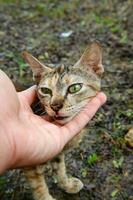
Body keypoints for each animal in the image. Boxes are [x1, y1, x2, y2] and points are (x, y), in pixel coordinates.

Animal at [22, 41, 104, 200]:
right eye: (45, 91)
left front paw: (67, 185)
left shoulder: (58, 153)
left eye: (75, 88)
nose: (55, 106)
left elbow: (60, 170)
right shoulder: (30, 165)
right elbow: (40, 188)